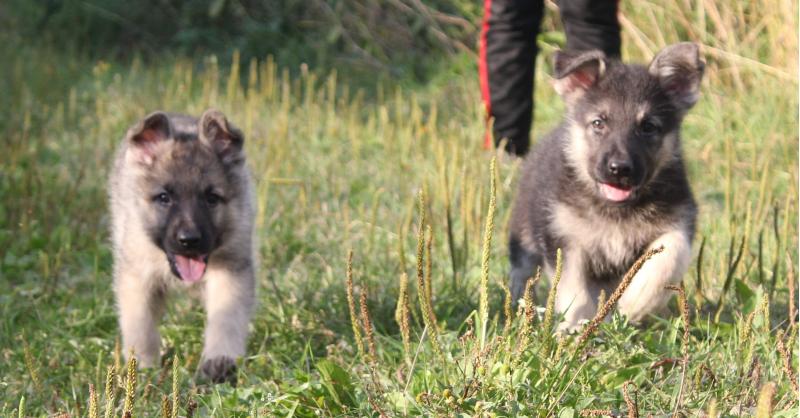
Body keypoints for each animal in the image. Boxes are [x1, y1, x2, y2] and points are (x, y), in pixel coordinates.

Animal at [108, 108, 255, 382]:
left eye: (211, 198)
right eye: (164, 197)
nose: (189, 240)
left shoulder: (232, 269)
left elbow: (226, 317)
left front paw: (219, 360)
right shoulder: (137, 277)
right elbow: (140, 324)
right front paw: (143, 365)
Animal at [510, 42, 704, 330]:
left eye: (648, 126)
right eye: (599, 123)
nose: (620, 169)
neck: (616, 211)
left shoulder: (679, 223)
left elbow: (668, 257)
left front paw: (635, 304)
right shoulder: (565, 240)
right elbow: (574, 291)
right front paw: (574, 327)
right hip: (525, 241)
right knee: (521, 277)